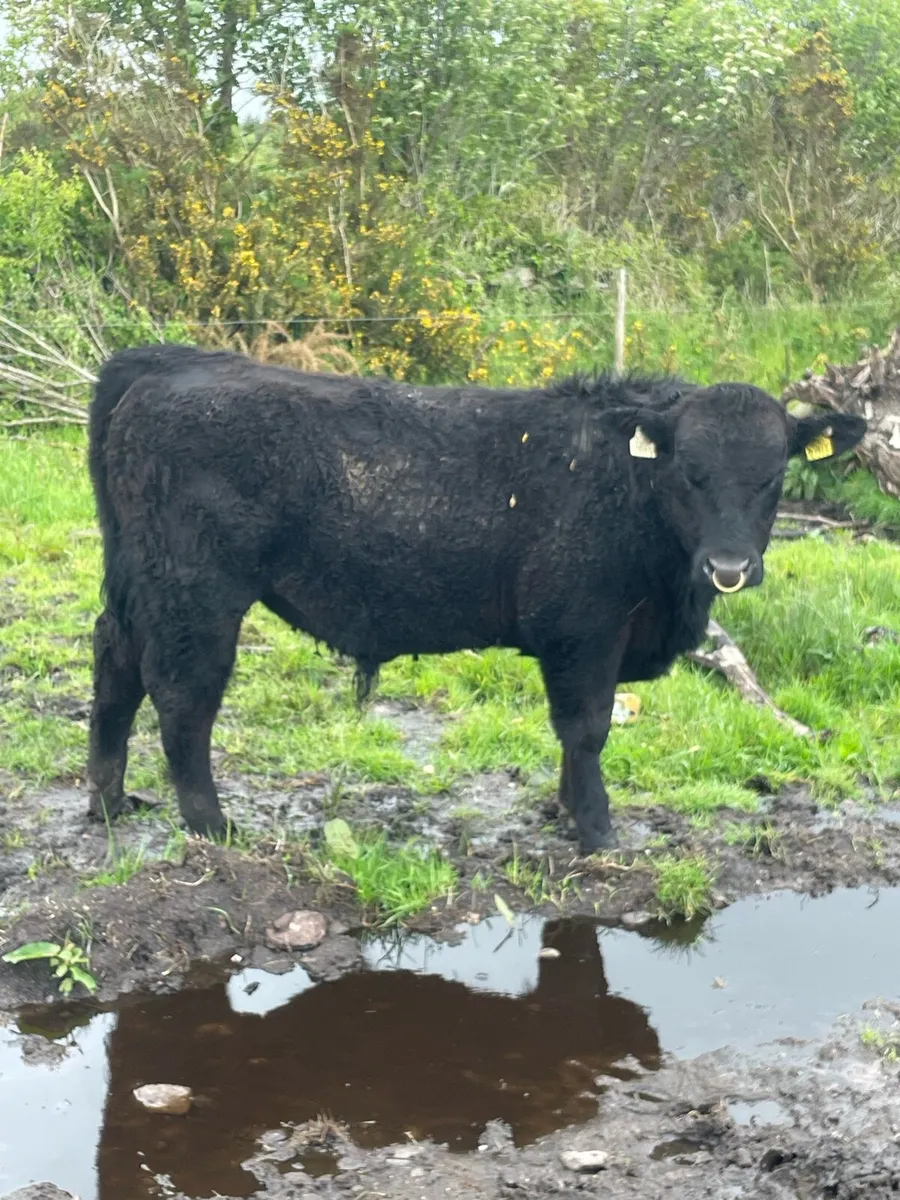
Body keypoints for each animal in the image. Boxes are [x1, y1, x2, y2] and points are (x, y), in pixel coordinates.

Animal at [85, 345, 865, 852]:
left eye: (772, 476)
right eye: (689, 471)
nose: (729, 565)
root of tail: (167, 362)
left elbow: (580, 732)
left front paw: (565, 811)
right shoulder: (583, 630)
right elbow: (587, 727)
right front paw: (598, 830)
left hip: (140, 579)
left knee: (114, 662)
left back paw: (109, 801)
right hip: (195, 593)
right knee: (182, 695)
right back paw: (211, 825)